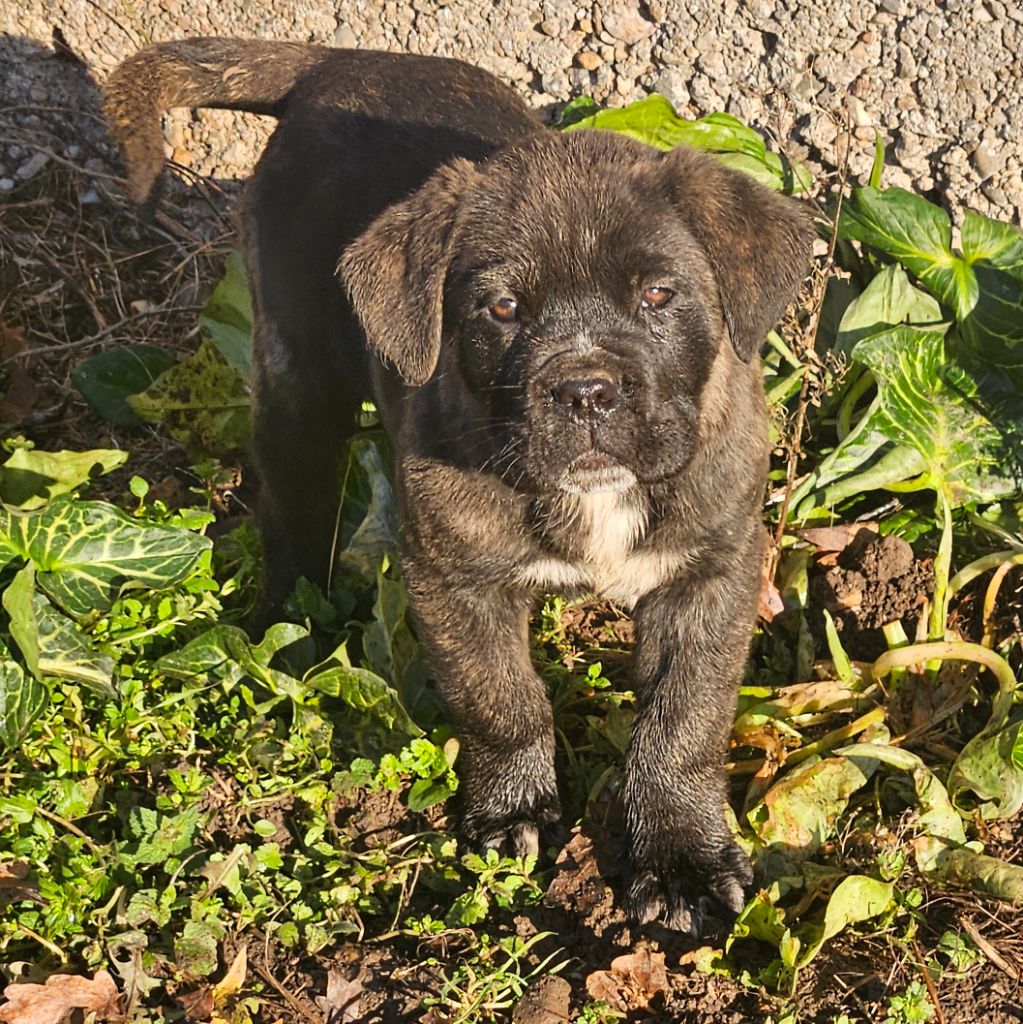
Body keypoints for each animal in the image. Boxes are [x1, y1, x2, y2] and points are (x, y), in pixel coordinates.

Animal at [105, 39, 815, 933]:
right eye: (502, 309)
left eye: (658, 296)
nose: (585, 390)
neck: (595, 497)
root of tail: (335, 59)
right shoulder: (453, 581)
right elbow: (500, 700)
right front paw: (512, 813)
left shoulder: (710, 573)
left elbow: (681, 719)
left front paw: (680, 858)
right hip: (297, 374)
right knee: (292, 504)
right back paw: (286, 625)